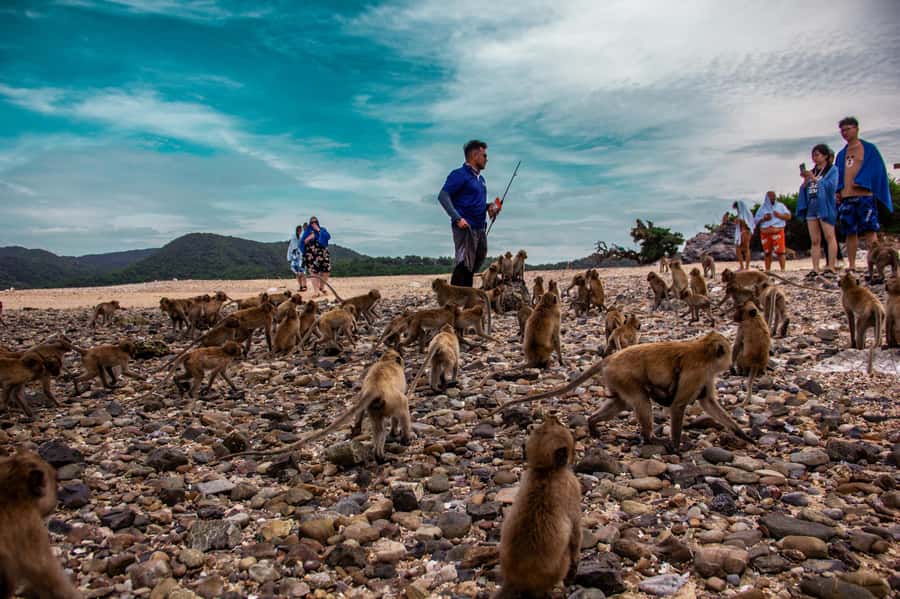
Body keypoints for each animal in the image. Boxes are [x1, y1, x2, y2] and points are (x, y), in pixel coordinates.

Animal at [224, 349, 411, 463]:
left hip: (375, 407)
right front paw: (396, 433)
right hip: (392, 401)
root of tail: (375, 388)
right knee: (403, 406)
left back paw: (379, 456)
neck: (387, 360)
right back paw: (405, 440)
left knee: (379, 429)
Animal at [491, 331, 750, 453]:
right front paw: (677, 446)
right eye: (729, 351)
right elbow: (678, 406)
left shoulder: (705, 375)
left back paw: (592, 423)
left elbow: (708, 403)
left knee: (623, 403)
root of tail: (610, 359)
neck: (703, 350)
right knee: (641, 401)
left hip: (615, 378)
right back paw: (651, 438)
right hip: (623, 375)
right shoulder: (696, 372)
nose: (731, 362)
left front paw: (741, 433)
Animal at [494, 415, 581, 599]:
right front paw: (576, 563)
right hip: (557, 568)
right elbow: (576, 530)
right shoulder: (572, 485)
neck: (545, 472)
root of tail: (516, 580)